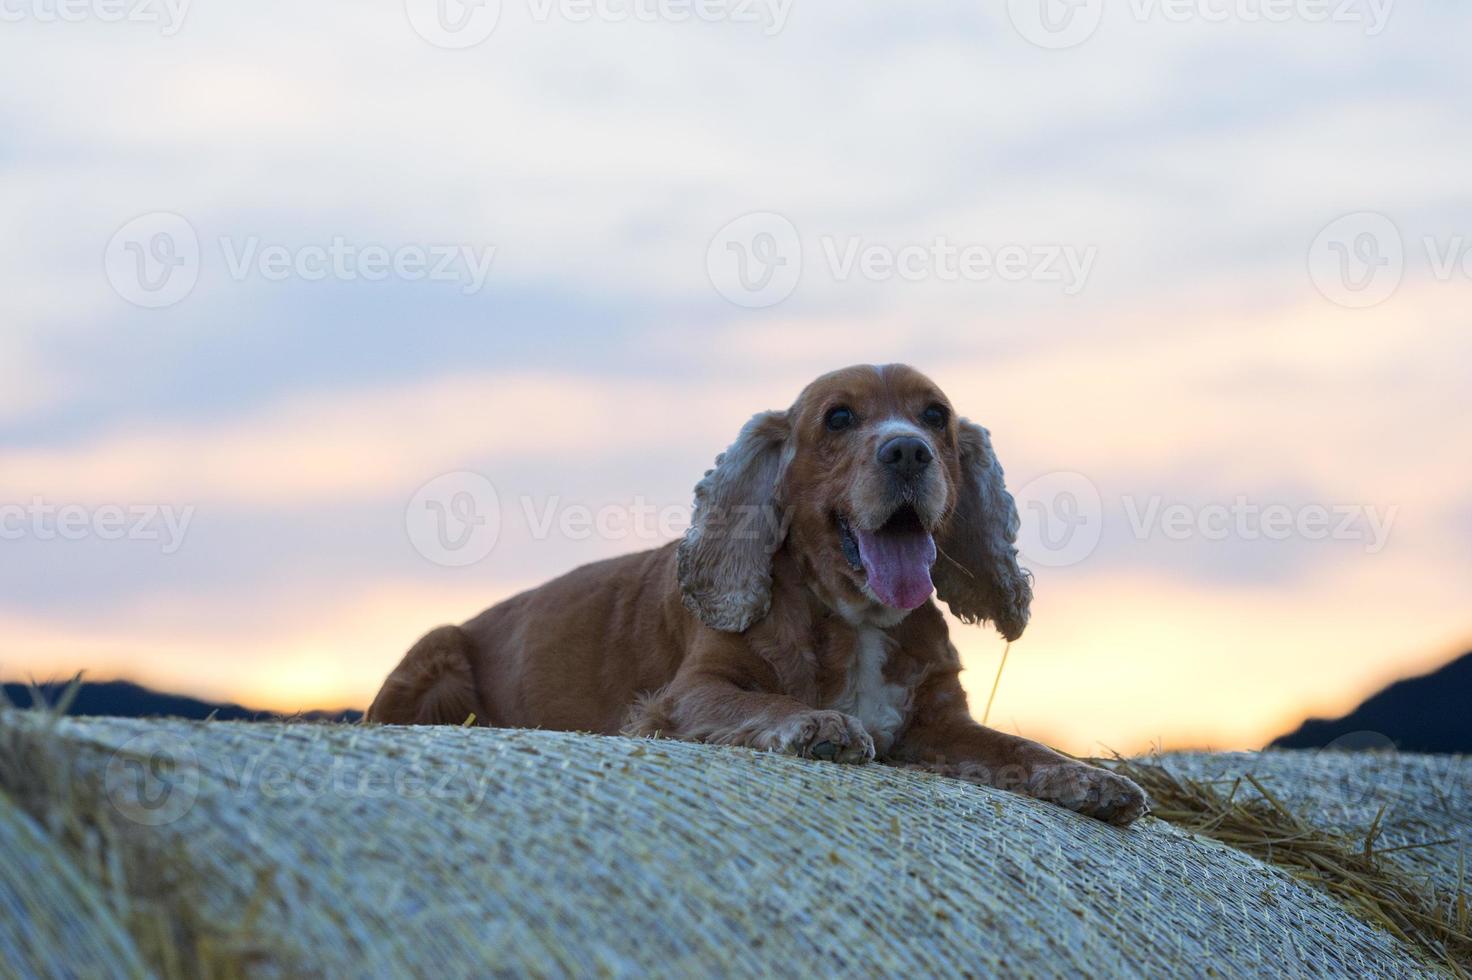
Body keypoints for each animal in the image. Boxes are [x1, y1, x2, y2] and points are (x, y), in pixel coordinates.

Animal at [368, 361, 1148, 818]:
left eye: (936, 416)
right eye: (839, 417)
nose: (908, 451)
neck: (855, 619)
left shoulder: (938, 723)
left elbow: (1018, 747)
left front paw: (1093, 780)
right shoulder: (685, 694)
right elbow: (763, 702)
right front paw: (822, 727)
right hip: (436, 648)